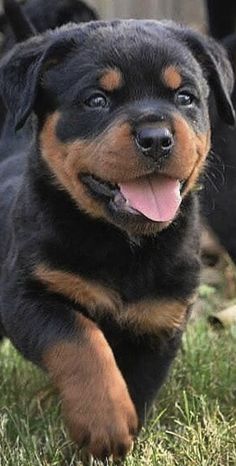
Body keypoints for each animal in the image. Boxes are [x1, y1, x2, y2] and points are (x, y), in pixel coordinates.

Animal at [0, 20, 233, 458]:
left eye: (185, 97)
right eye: (96, 100)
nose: (156, 137)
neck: (124, 244)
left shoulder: (159, 320)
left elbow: (135, 385)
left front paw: (118, 439)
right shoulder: (28, 295)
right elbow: (81, 341)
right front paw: (103, 423)